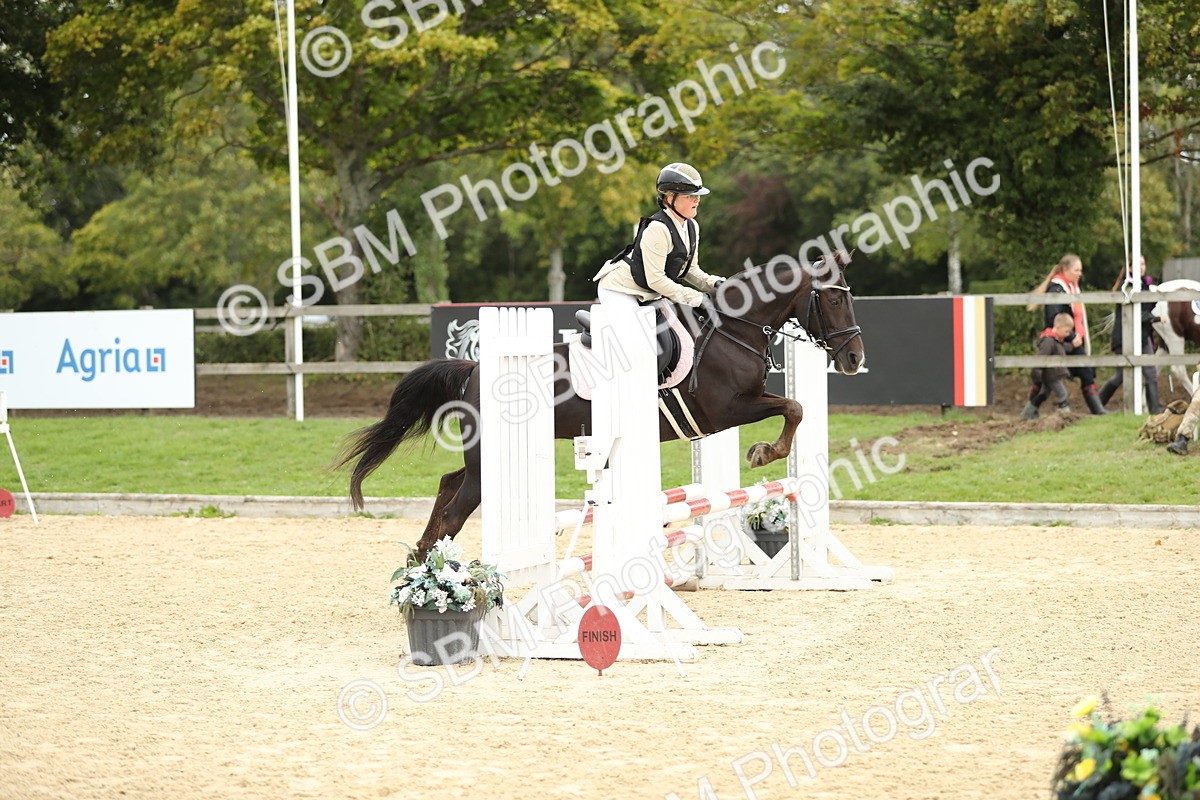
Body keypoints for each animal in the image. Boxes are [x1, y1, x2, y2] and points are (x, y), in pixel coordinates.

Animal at [335, 252, 865, 560]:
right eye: (834, 300)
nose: (854, 359)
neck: (733, 328)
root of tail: (474, 369)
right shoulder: (725, 410)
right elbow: (794, 407)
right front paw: (763, 453)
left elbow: (794, 407)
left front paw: (763, 452)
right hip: (490, 462)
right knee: (456, 508)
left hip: (484, 457)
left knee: (448, 485)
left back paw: (423, 556)